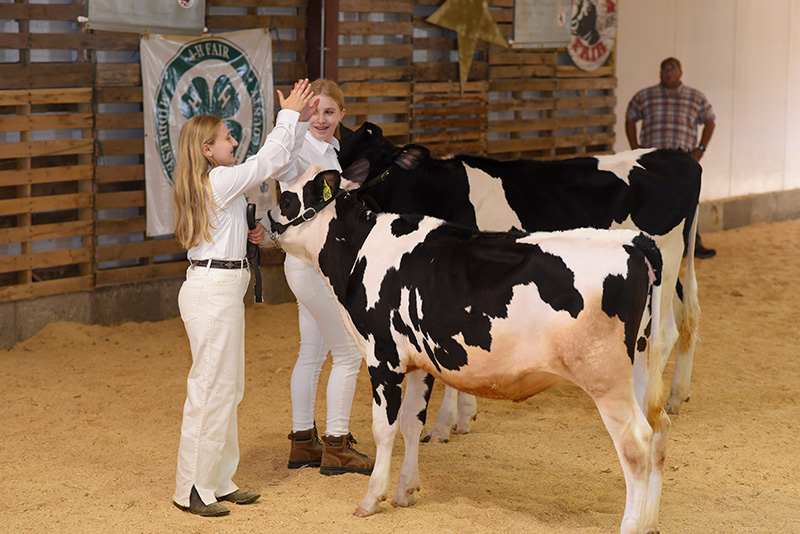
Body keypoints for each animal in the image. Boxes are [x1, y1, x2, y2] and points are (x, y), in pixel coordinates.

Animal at [268, 164, 668, 534]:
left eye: (286, 199)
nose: (265, 220)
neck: (359, 252)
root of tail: (633, 241)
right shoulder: (419, 362)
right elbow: (412, 423)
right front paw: (406, 491)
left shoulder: (384, 359)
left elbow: (385, 428)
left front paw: (372, 498)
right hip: (640, 364)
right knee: (658, 430)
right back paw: (650, 522)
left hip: (605, 377)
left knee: (637, 443)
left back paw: (633, 525)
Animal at [340, 124, 704, 444]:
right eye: (343, 152)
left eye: (372, 163)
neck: (440, 191)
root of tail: (679, 155)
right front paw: (465, 415)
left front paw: (445, 425)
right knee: (686, 318)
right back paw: (677, 395)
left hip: (668, 259)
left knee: (665, 333)